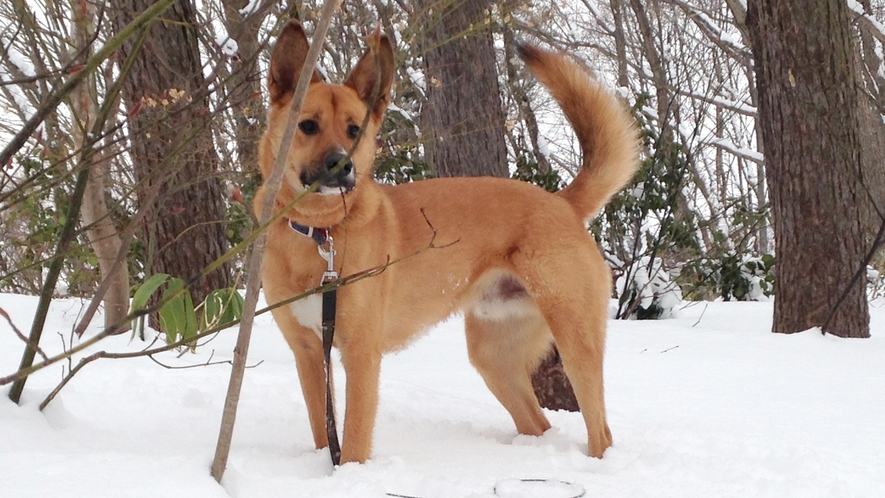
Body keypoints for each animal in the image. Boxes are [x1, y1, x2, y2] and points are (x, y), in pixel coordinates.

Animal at [252, 19, 640, 462]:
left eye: (354, 130)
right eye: (308, 125)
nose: (342, 165)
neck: (320, 233)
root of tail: (561, 202)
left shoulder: (360, 354)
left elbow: (351, 440)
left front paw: (348, 472)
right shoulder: (308, 353)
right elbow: (324, 430)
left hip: (576, 345)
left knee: (600, 432)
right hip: (494, 358)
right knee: (538, 423)